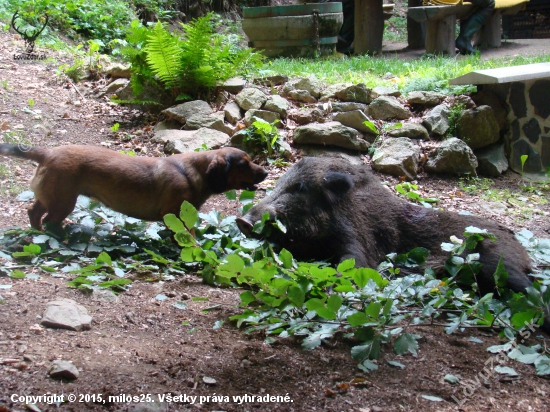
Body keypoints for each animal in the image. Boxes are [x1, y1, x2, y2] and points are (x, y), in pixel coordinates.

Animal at [0, 144, 268, 229]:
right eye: (244, 163)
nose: (266, 173)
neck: (193, 172)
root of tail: (46, 153)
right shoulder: (176, 216)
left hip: (50, 198)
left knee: (33, 212)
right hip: (63, 202)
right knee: (48, 220)